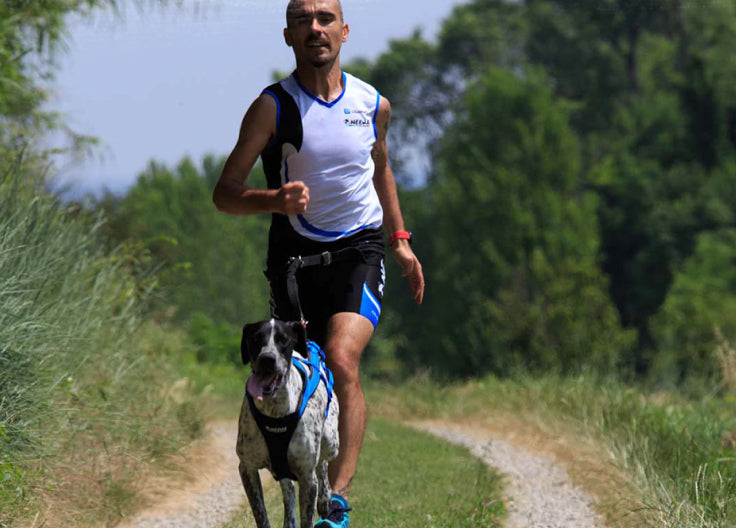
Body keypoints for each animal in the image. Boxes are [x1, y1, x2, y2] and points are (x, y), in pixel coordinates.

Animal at [236, 318, 340, 528]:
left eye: (283, 339)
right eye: (255, 338)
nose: (267, 358)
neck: (275, 411)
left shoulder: (308, 477)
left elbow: (308, 518)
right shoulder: (247, 467)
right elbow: (261, 514)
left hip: (330, 441)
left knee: (323, 463)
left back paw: (326, 498)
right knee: (289, 489)